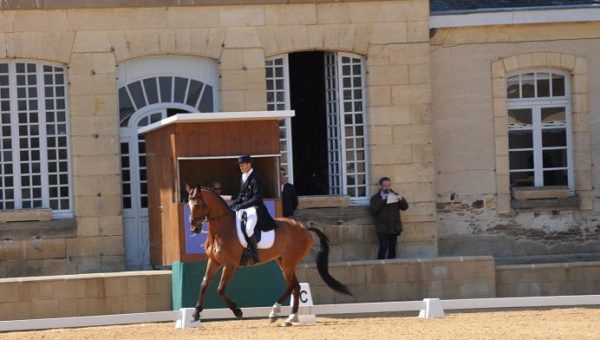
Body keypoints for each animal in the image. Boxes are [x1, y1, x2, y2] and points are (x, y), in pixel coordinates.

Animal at [188, 187, 352, 326]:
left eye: (198, 204)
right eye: (189, 205)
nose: (194, 228)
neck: (221, 229)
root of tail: (304, 228)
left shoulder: (230, 264)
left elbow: (220, 289)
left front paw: (237, 311)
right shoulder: (214, 261)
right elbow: (204, 285)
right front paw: (195, 314)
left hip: (288, 262)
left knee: (291, 285)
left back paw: (275, 312)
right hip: (283, 261)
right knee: (296, 286)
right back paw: (290, 318)